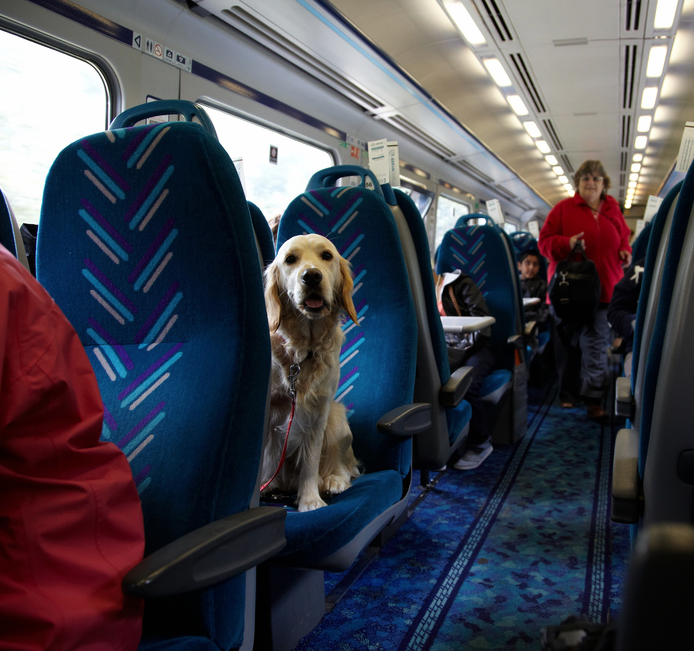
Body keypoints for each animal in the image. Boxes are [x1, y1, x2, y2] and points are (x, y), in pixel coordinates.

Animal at [262, 234, 364, 516]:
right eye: (290, 259)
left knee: (345, 468)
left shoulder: (318, 411)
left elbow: (310, 462)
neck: (301, 352)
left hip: (336, 416)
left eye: (326, 256)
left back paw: (332, 481)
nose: (311, 276)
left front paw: (310, 500)